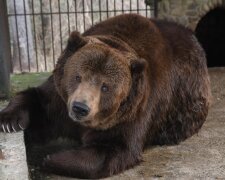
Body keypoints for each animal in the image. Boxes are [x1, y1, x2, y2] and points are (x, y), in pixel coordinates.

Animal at [0, 14, 211, 179]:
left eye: (105, 87)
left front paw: (50, 159)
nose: (80, 108)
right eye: (78, 76)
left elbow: (113, 148)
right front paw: (9, 122)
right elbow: (39, 103)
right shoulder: (60, 100)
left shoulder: (135, 110)